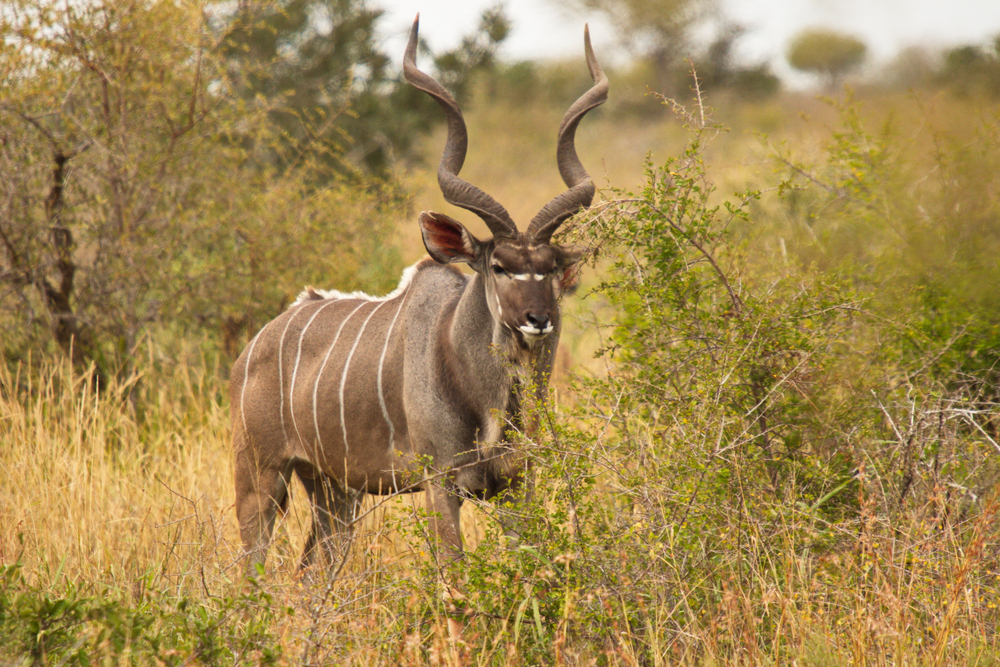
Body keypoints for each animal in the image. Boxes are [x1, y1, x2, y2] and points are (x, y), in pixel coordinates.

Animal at [232, 17, 608, 576]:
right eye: (499, 267)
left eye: (551, 269)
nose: (537, 318)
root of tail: (254, 346)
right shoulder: (439, 484)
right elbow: (454, 577)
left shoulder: (517, 484)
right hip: (261, 475)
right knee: (251, 570)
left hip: (335, 492)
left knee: (311, 574)